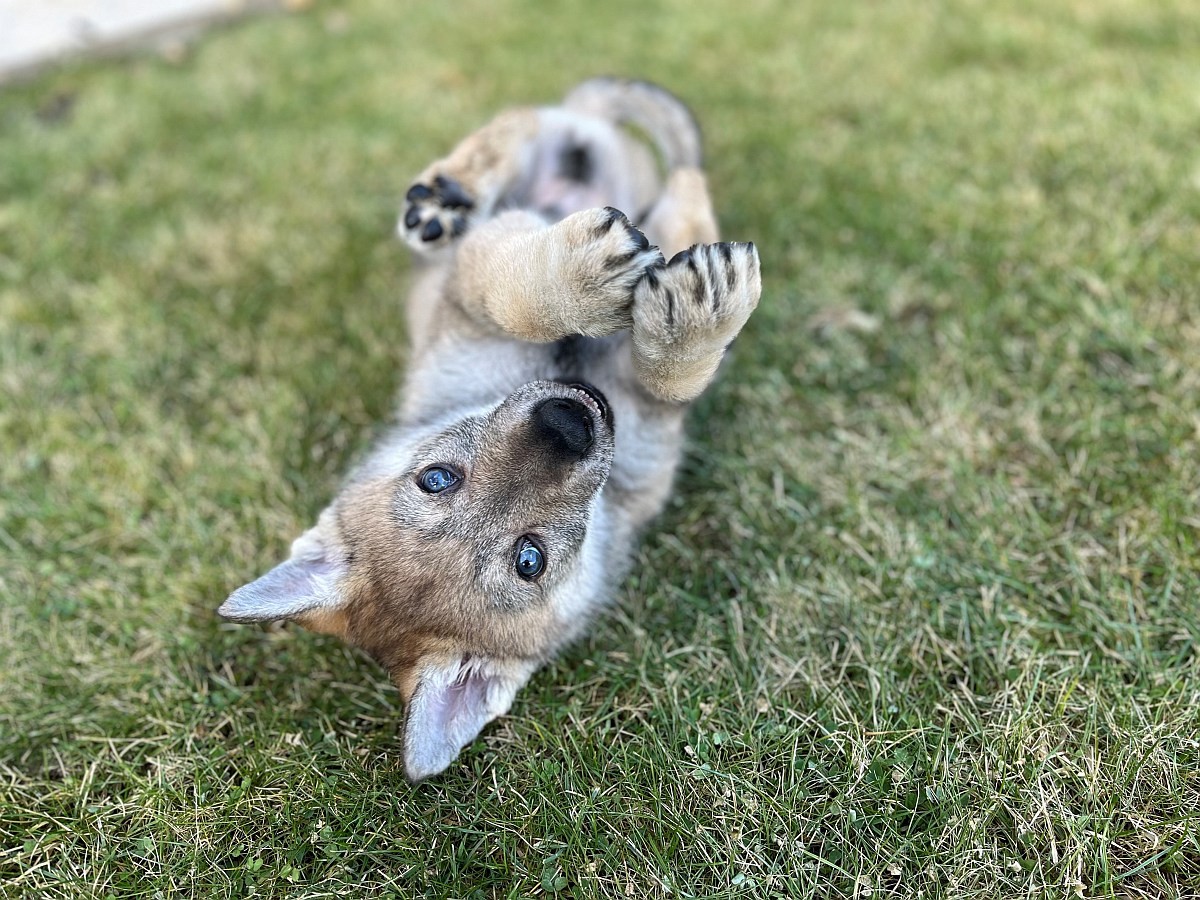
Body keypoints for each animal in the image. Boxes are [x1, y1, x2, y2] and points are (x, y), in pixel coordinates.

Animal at [222, 77, 763, 782]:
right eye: (529, 559)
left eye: (435, 478)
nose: (567, 424)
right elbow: (529, 299)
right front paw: (620, 290)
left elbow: (631, 354)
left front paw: (679, 311)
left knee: (541, 130)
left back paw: (444, 197)